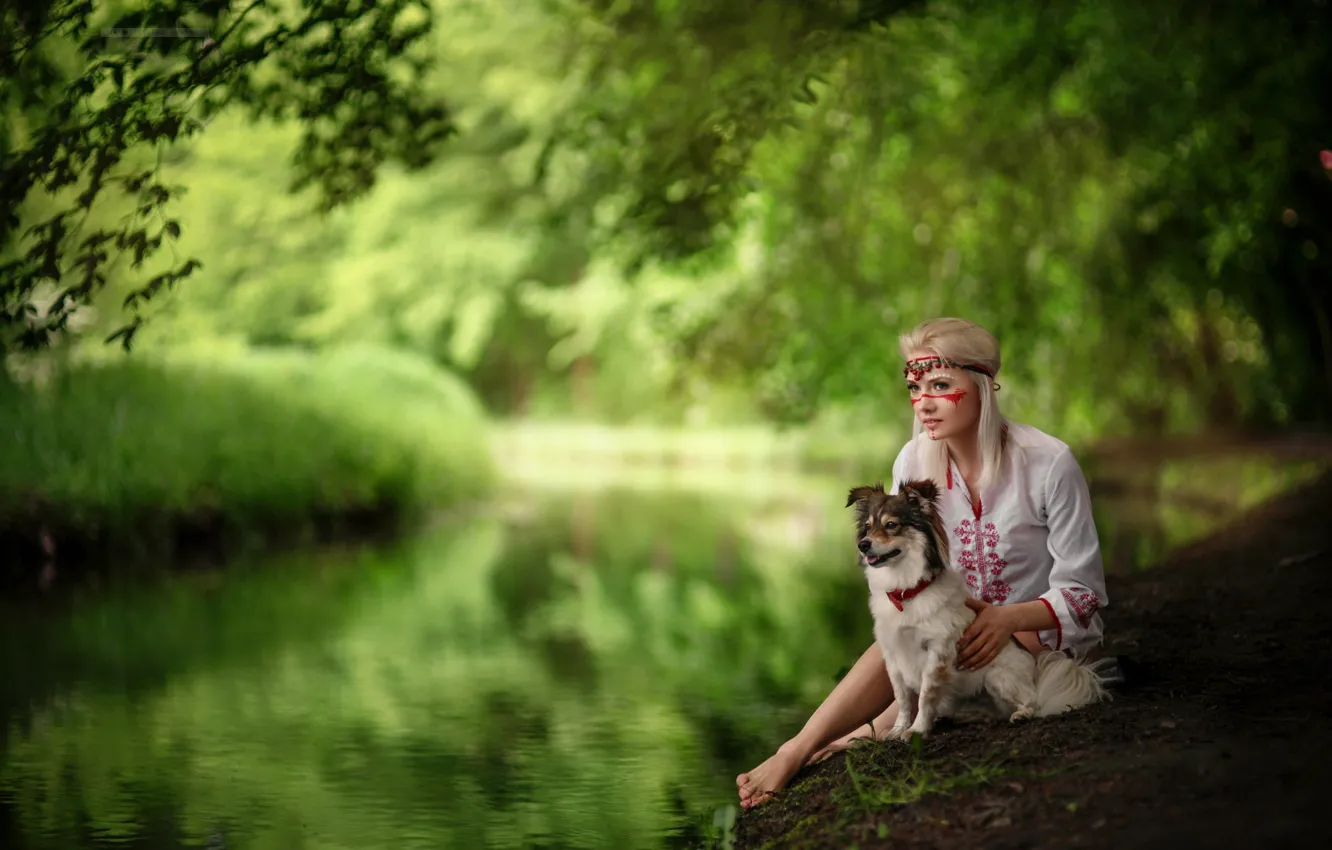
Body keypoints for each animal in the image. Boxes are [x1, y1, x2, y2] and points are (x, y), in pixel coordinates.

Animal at [847, 479, 1108, 740]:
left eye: (891, 525)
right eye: (867, 528)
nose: (863, 545)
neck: (907, 592)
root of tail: (1034, 677)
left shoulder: (937, 653)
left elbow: (925, 696)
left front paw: (917, 730)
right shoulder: (893, 656)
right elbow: (902, 699)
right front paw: (898, 729)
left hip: (997, 676)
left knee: (1032, 703)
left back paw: (1021, 714)